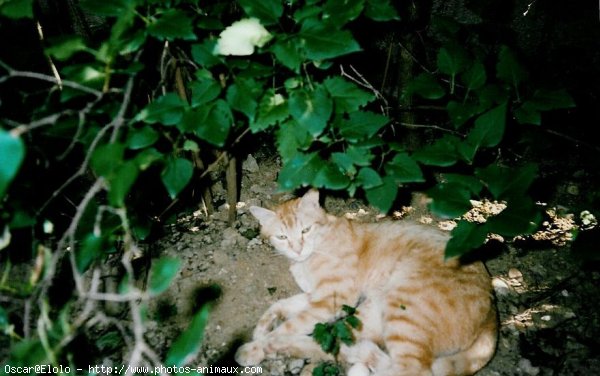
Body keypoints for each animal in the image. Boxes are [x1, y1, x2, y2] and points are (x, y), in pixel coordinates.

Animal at [234, 191, 496, 376]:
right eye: (282, 236)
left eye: (305, 230)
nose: (297, 249)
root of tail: (492, 314)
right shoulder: (318, 297)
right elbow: (280, 305)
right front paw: (261, 330)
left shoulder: (331, 299)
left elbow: (290, 324)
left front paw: (261, 342)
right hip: (371, 313)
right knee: (340, 345)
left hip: (401, 308)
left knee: (411, 370)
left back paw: (270, 346)